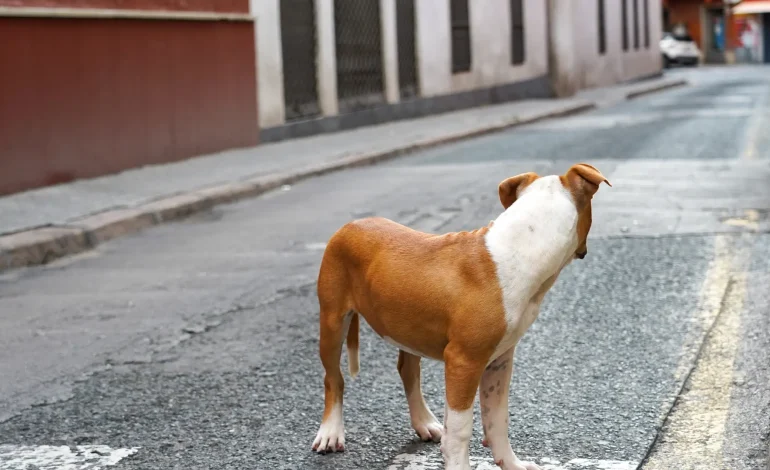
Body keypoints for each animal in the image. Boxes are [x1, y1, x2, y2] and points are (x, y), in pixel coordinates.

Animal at [308, 163, 608, 468]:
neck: (525, 243)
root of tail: (350, 225)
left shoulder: (499, 360)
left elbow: (497, 420)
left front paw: (511, 464)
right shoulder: (464, 362)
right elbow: (460, 431)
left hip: (408, 328)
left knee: (408, 370)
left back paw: (424, 422)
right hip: (333, 320)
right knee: (333, 378)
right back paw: (331, 432)